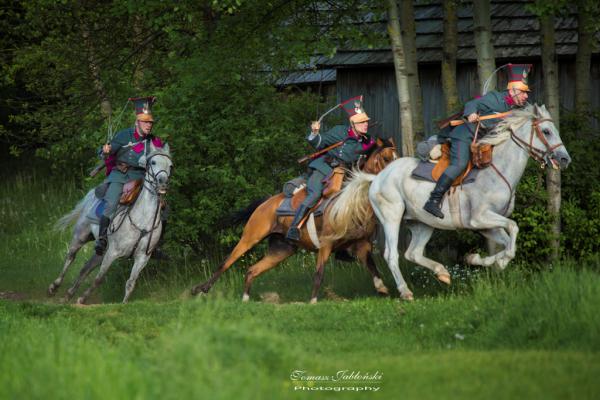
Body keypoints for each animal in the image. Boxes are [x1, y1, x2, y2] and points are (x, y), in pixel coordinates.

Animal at [48, 143, 172, 304]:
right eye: (153, 162)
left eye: (170, 165)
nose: (162, 183)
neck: (143, 221)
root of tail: (92, 194)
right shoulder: (113, 252)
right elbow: (99, 279)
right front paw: (82, 298)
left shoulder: (142, 258)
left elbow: (131, 283)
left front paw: (124, 304)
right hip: (81, 236)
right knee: (70, 257)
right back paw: (54, 287)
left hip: (101, 251)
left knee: (85, 267)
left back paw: (68, 294)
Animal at [192, 139, 398, 302]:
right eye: (386, 158)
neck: (351, 202)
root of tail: (266, 202)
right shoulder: (325, 244)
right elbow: (319, 273)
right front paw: (313, 301)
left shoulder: (362, 244)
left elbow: (372, 267)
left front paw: (382, 289)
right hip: (250, 237)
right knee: (226, 262)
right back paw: (201, 290)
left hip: (281, 250)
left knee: (252, 270)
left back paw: (245, 298)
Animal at [328, 104, 572, 298]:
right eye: (547, 131)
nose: (564, 159)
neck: (497, 170)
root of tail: (377, 177)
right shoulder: (480, 218)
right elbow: (513, 229)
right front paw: (499, 261)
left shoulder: (488, 225)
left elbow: (506, 242)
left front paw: (476, 259)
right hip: (391, 219)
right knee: (392, 255)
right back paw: (405, 291)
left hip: (422, 223)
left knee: (413, 253)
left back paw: (442, 273)